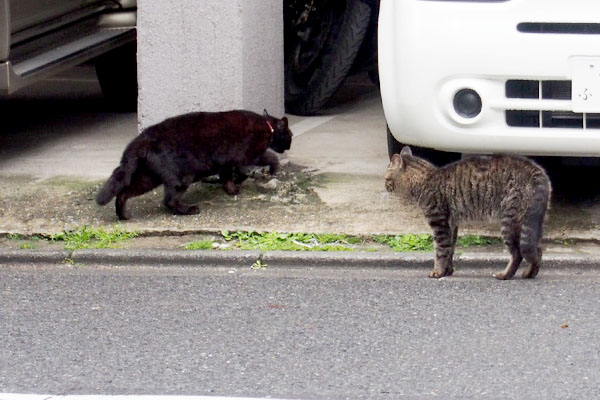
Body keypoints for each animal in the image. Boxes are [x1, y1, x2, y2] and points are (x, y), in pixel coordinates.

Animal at [96, 109, 292, 220]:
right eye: (290, 135)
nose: (290, 145)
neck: (267, 126)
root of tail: (143, 138)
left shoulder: (226, 162)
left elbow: (227, 176)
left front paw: (231, 189)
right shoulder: (249, 155)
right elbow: (269, 158)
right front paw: (272, 169)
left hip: (148, 178)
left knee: (123, 193)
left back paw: (123, 215)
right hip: (181, 178)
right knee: (168, 201)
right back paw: (189, 210)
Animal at [386, 145, 552, 280]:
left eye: (386, 178)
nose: (385, 187)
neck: (424, 179)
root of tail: (536, 170)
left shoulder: (439, 223)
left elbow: (440, 250)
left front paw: (438, 272)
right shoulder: (451, 224)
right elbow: (450, 250)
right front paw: (447, 271)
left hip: (509, 221)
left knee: (518, 253)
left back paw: (505, 275)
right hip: (532, 222)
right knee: (537, 250)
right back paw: (530, 273)